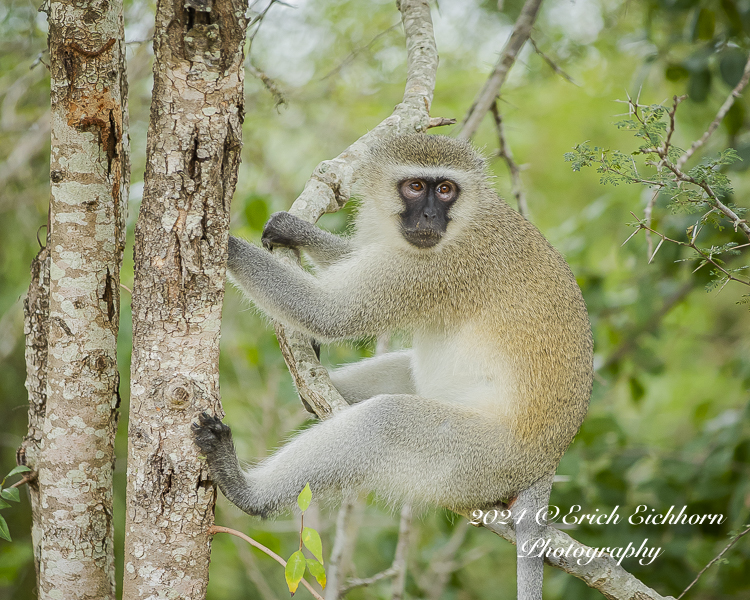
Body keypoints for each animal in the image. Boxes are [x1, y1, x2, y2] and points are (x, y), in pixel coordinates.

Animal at [194, 132, 592, 600]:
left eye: (446, 189)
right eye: (416, 187)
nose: (429, 216)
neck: (466, 220)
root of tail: (549, 461)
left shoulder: (438, 266)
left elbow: (333, 314)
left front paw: (222, 243)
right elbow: (356, 262)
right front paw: (295, 230)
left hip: (485, 460)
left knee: (385, 420)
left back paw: (245, 489)